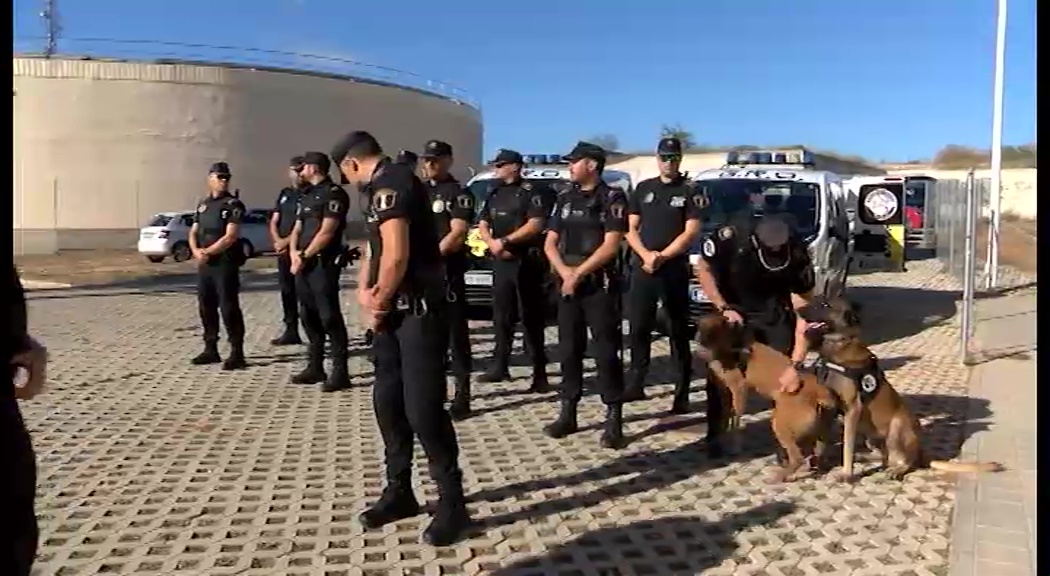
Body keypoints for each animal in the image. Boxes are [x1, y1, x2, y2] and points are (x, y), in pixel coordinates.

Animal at [697, 312, 835, 482]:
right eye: (700, 327)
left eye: (714, 331)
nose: (700, 342)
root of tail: (818, 392)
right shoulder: (724, 389)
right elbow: (724, 415)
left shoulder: (739, 389)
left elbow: (735, 421)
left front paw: (734, 445)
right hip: (817, 430)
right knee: (818, 451)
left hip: (780, 424)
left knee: (797, 458)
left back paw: (780, 476)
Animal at [797, 293, 1003, 478]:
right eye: (816, 299)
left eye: (825, 305)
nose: (798, 310)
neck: (839, 346)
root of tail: (920, 451)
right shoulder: (828, 409)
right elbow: (822, 442)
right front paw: (818, 463)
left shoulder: (853, 410)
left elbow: (847, 445)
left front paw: (846, 473)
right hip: (871, 436)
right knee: (884, 457)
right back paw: (867, 458)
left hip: (897, 426)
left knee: (904, 461)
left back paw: (896, 469)